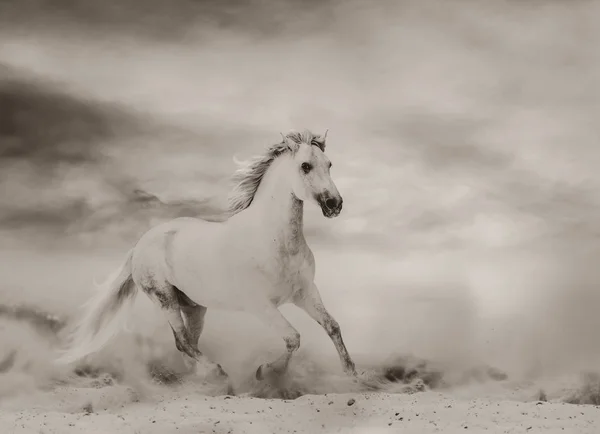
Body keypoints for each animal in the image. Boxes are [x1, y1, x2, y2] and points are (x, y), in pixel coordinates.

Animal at [57, 130, 356, 390]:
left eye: (329, 164)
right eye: (305, 166)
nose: (334, 204)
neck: (274, 240)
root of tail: (139, 245)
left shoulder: (305, 293)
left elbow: (332, 326)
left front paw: (351, 373)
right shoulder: (260, 305)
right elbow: (293, 338)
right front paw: (265, 371)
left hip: (194, 306)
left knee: (189, 342)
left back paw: (203, 379)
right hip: (165, 299)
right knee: (182, 341)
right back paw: (217, 372)